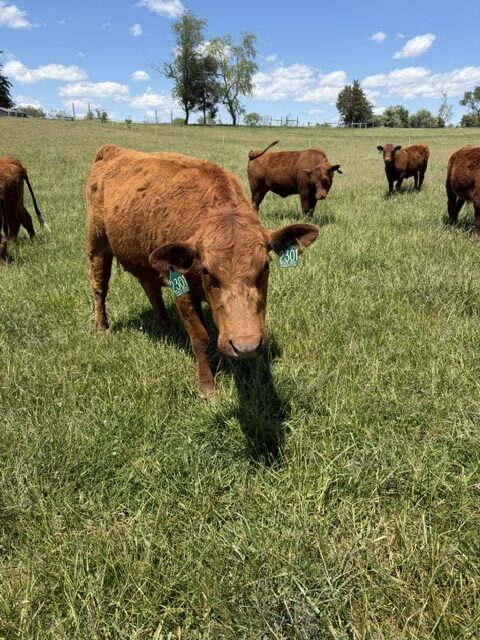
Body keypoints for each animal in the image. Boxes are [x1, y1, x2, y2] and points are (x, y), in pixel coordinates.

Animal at [86, 144, 319, 396]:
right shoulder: (182, 291)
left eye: (265, 266)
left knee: (150, 287)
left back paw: (165, 327)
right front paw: (207, 388)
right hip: (97, 245)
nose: (245, 346)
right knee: (99, 286)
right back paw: (102, 327)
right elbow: (200, 338)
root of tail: (112, 151)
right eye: (207, 271)